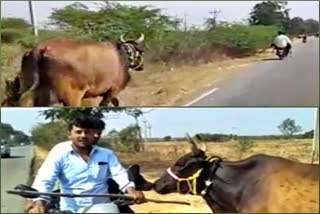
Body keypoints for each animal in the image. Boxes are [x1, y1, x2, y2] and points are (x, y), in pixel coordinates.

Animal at [16, 33, 144, 107]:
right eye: (140, 51)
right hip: (72, 96)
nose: (141, 66)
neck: (123, 54)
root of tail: (41, 47)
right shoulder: (113, 90)